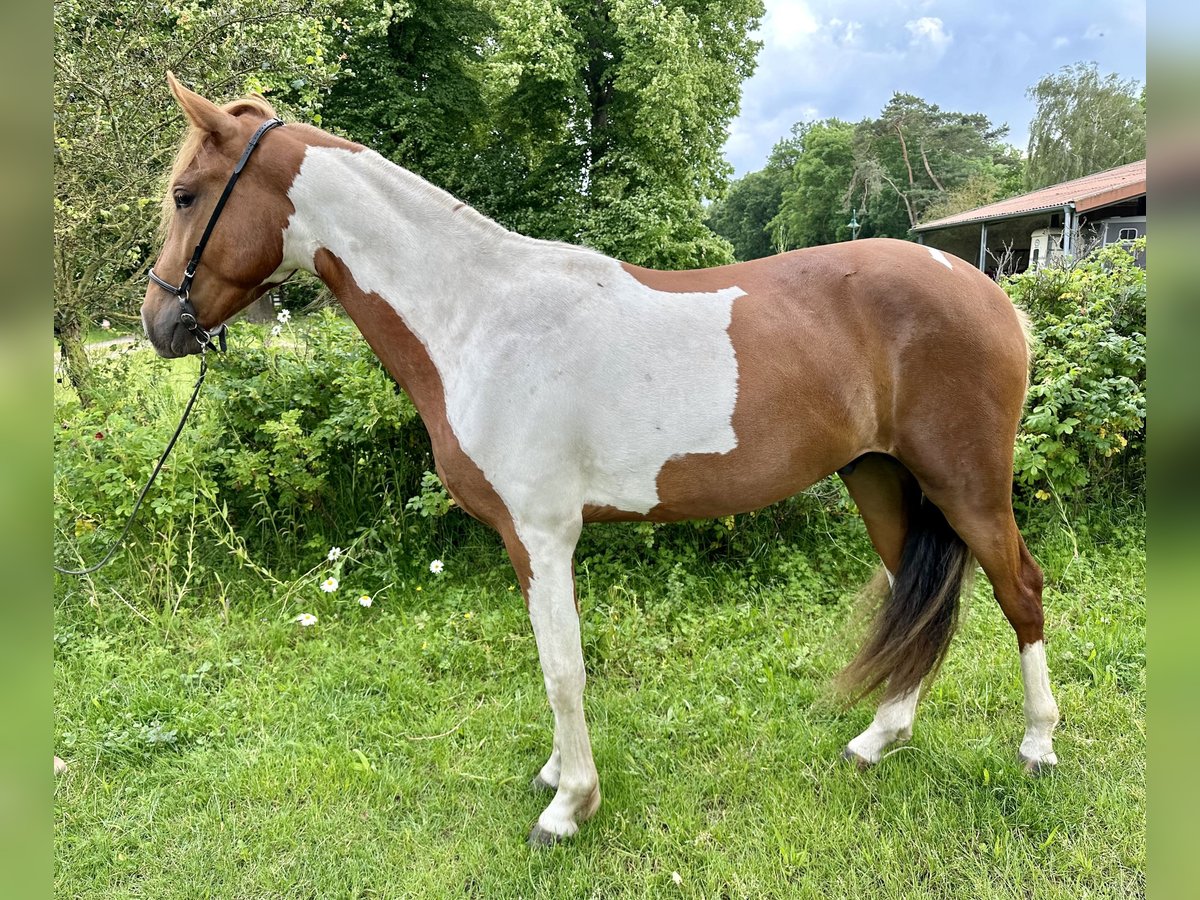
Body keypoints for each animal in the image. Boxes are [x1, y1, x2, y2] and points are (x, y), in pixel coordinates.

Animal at [142, 75, 1060, 844]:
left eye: (187, 196)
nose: (159, 322)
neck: (480, 317)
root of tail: (990, 293)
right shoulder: (524, 543)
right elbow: (552, 660)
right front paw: (558, 774)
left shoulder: (545, 535)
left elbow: (563, 669)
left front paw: (569, 805)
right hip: (879, 478)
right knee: (924, 594)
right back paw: (879, 738)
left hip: (966, 483)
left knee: (1019, 589)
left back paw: (1038, 746)